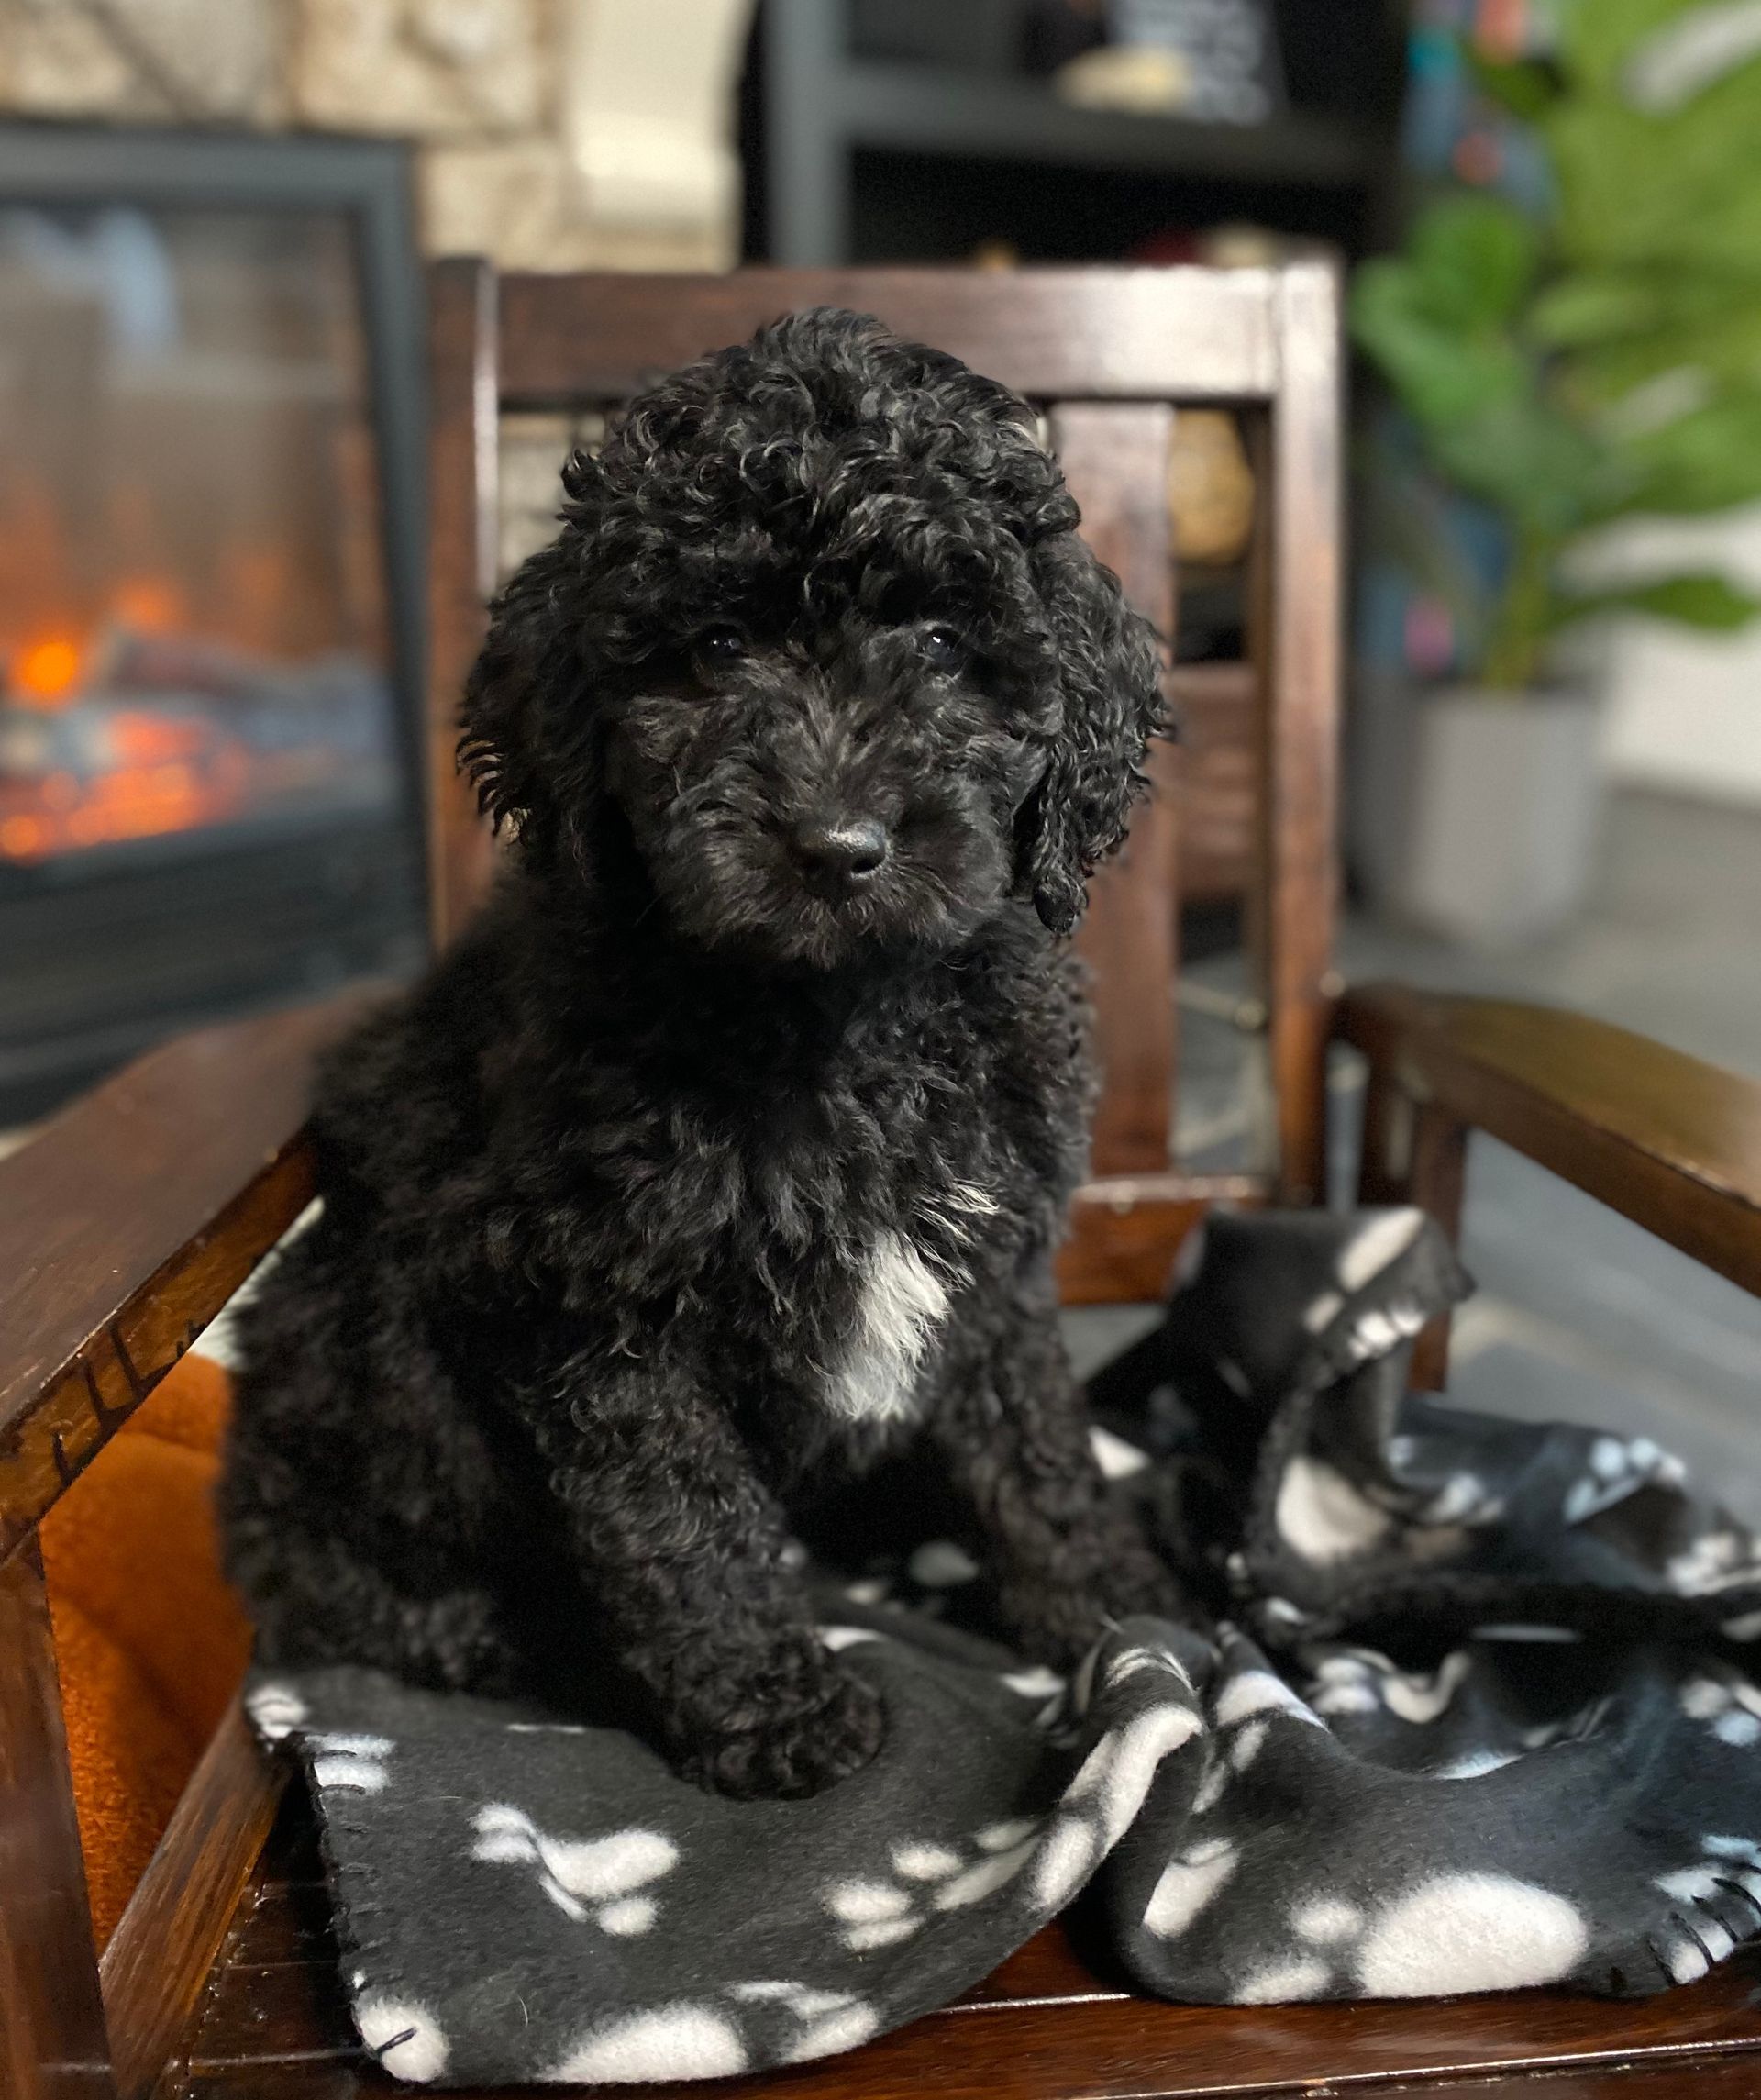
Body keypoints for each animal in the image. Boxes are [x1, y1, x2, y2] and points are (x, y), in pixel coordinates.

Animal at [220, 304, 1183, 1797]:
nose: (840, 847)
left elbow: (1037, 1450)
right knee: (328, 1572)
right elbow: (683, 1523)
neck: (838, 1017)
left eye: (946, 644)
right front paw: (778, 1710)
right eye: (718, 646)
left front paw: (1117, 1614)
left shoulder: (994, 1263)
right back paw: (495, 1636)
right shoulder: (592, 1305)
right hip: (343, 1371)